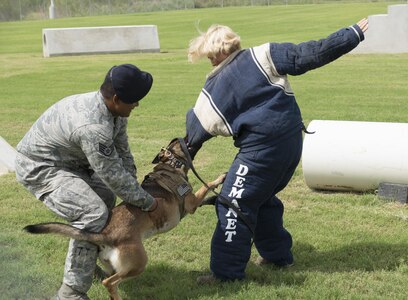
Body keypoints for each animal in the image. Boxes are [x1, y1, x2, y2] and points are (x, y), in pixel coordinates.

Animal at [23, 138, 225, 300]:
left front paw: (214, 199)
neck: (171, 166)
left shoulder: (191, 205)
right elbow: (206, 186)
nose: (184, 137)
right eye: (179, 143)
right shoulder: (191, 203)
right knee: (110, 283)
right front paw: (220, 178)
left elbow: (205, 197)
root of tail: (105, 234)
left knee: (109, 281)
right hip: (138, 263)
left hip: (114, 265)